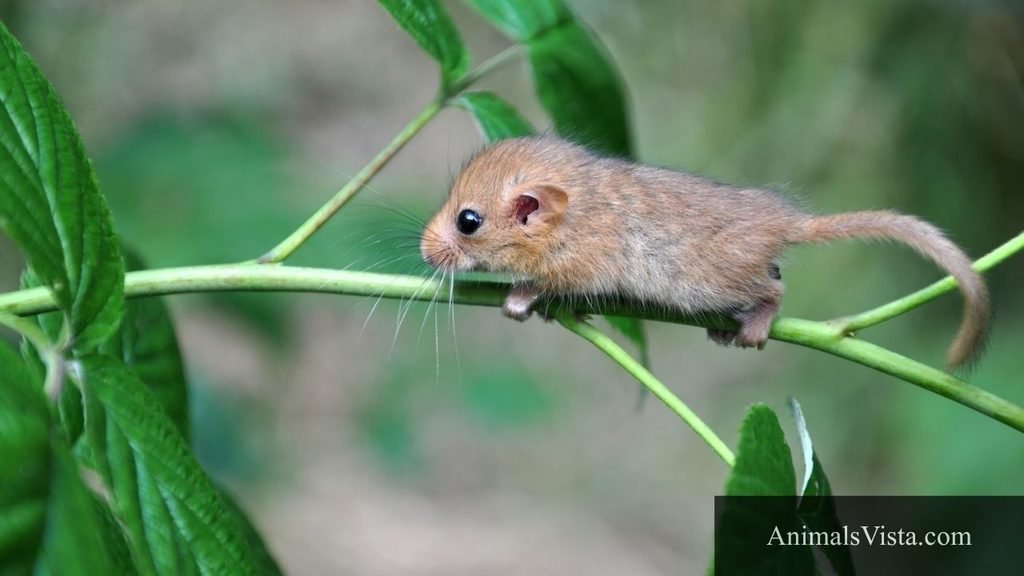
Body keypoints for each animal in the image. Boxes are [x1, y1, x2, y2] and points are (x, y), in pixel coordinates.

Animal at [420, 136, 989, 367]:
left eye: (468, 222)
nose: (424, 253)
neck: (575, 212)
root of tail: (788, 221)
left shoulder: (579, 266)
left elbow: (541, 284)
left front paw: (518, 302)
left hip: (709, 281)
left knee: (775, 288)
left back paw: (754, 326)